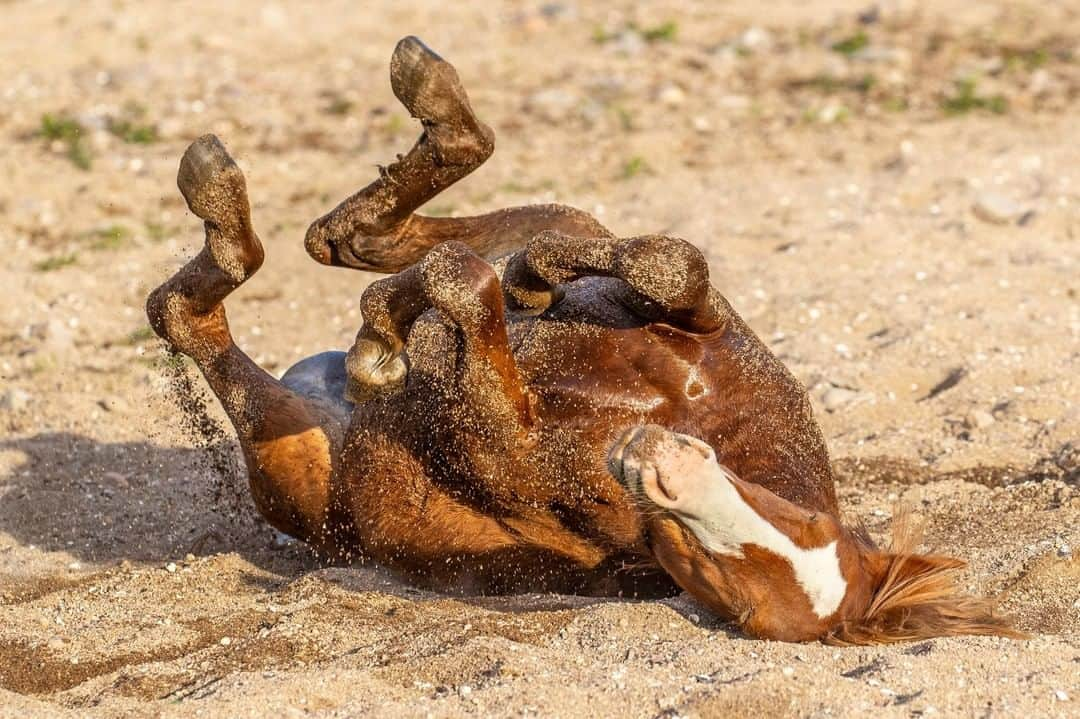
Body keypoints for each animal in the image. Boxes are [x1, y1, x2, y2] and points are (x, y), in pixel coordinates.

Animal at [145, 36, 1019, 639]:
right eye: (805, 525)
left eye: (724, 587)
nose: (664, 463)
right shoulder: (702, 319)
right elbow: (669, 265)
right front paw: (477, 297)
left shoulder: (498, 443)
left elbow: (464, 293)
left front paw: (394, 334)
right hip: (558, 213)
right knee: (375, 232)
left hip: (293, 461)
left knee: (190, 313)